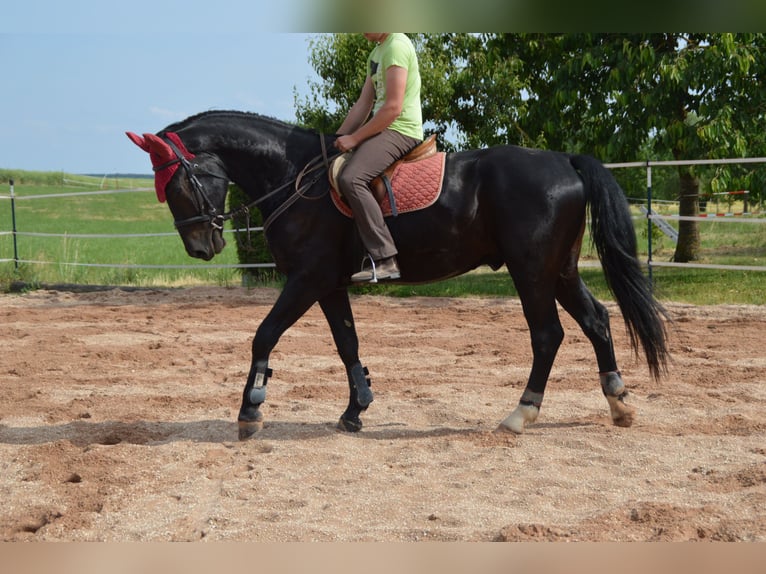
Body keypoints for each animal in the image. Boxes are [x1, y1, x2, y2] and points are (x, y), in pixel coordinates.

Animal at [129, 111, 668, 440]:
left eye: (178, 184)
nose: (201, 247)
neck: (294, 176)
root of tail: (564, 160)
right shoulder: (329, 284)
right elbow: (347, 343)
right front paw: (356, 409)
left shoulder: (306, 279)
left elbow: (264, 335)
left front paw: (251, 410)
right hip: (560, 270)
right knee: (596, 321)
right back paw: (619, 403)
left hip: (531, 270)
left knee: (547, 334)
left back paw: (521, 413)